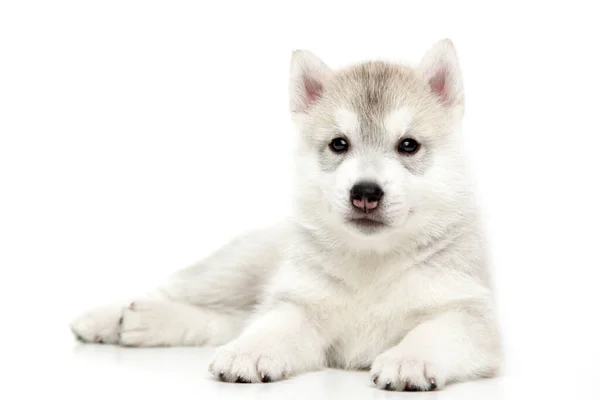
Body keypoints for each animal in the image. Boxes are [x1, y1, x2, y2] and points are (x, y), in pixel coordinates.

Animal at [71, 39, 502, 390]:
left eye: (409, 145)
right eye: (339, 144)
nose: (365, 193)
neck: (371, 263)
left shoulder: (468, 315)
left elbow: (435, 333)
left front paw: (409, 359)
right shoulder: (299, 304)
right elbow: (272, 326)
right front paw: (250, 352)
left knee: (227, 318)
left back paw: (142, 323)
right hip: (234, 269)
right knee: (187, 292)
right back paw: (106, 318)